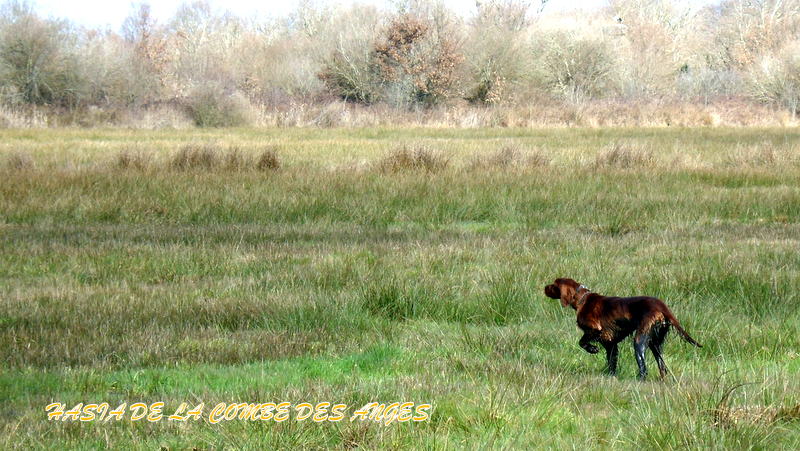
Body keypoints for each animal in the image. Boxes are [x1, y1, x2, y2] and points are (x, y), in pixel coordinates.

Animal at [544, 278, 700, 380]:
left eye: (553, 285)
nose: (544, 287)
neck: (582, 299)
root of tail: (662, 306)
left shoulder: (595, 330)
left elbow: (582, 342)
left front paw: (592, 349)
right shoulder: (610, 343)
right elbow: (611, 363)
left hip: (639, 341)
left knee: (643, 368)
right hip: (655, 343)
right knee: (662, 367)